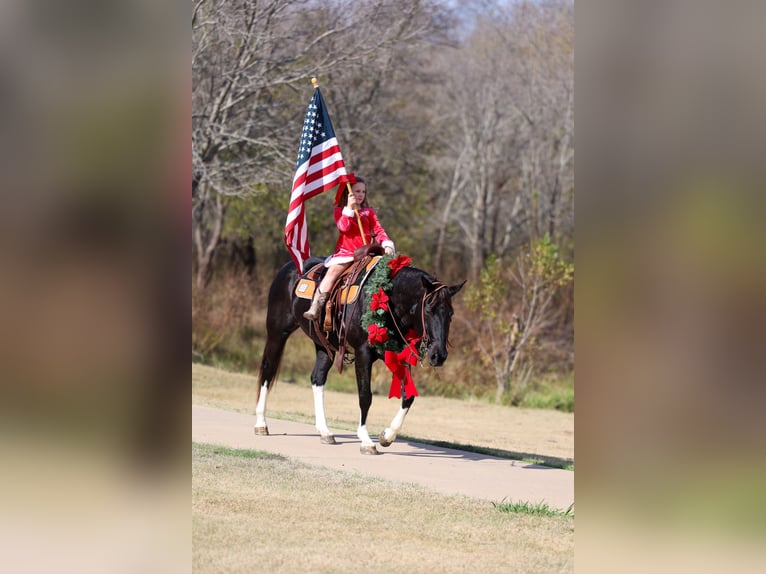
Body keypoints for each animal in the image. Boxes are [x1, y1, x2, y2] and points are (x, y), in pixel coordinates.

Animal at [253, 256, 466, 454]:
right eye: (428, 310)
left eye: (450, 314)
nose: (439, 355)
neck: (387, 299)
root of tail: (290, 267)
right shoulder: (363, 354)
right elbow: (365, 396)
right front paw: (366, 440)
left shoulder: (396, 355)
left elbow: (408, 396)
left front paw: (387, 435)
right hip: (277, 333)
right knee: (267, 370)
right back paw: (261, 423)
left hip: (324, 346)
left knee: (317, 379)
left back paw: (325, 431)